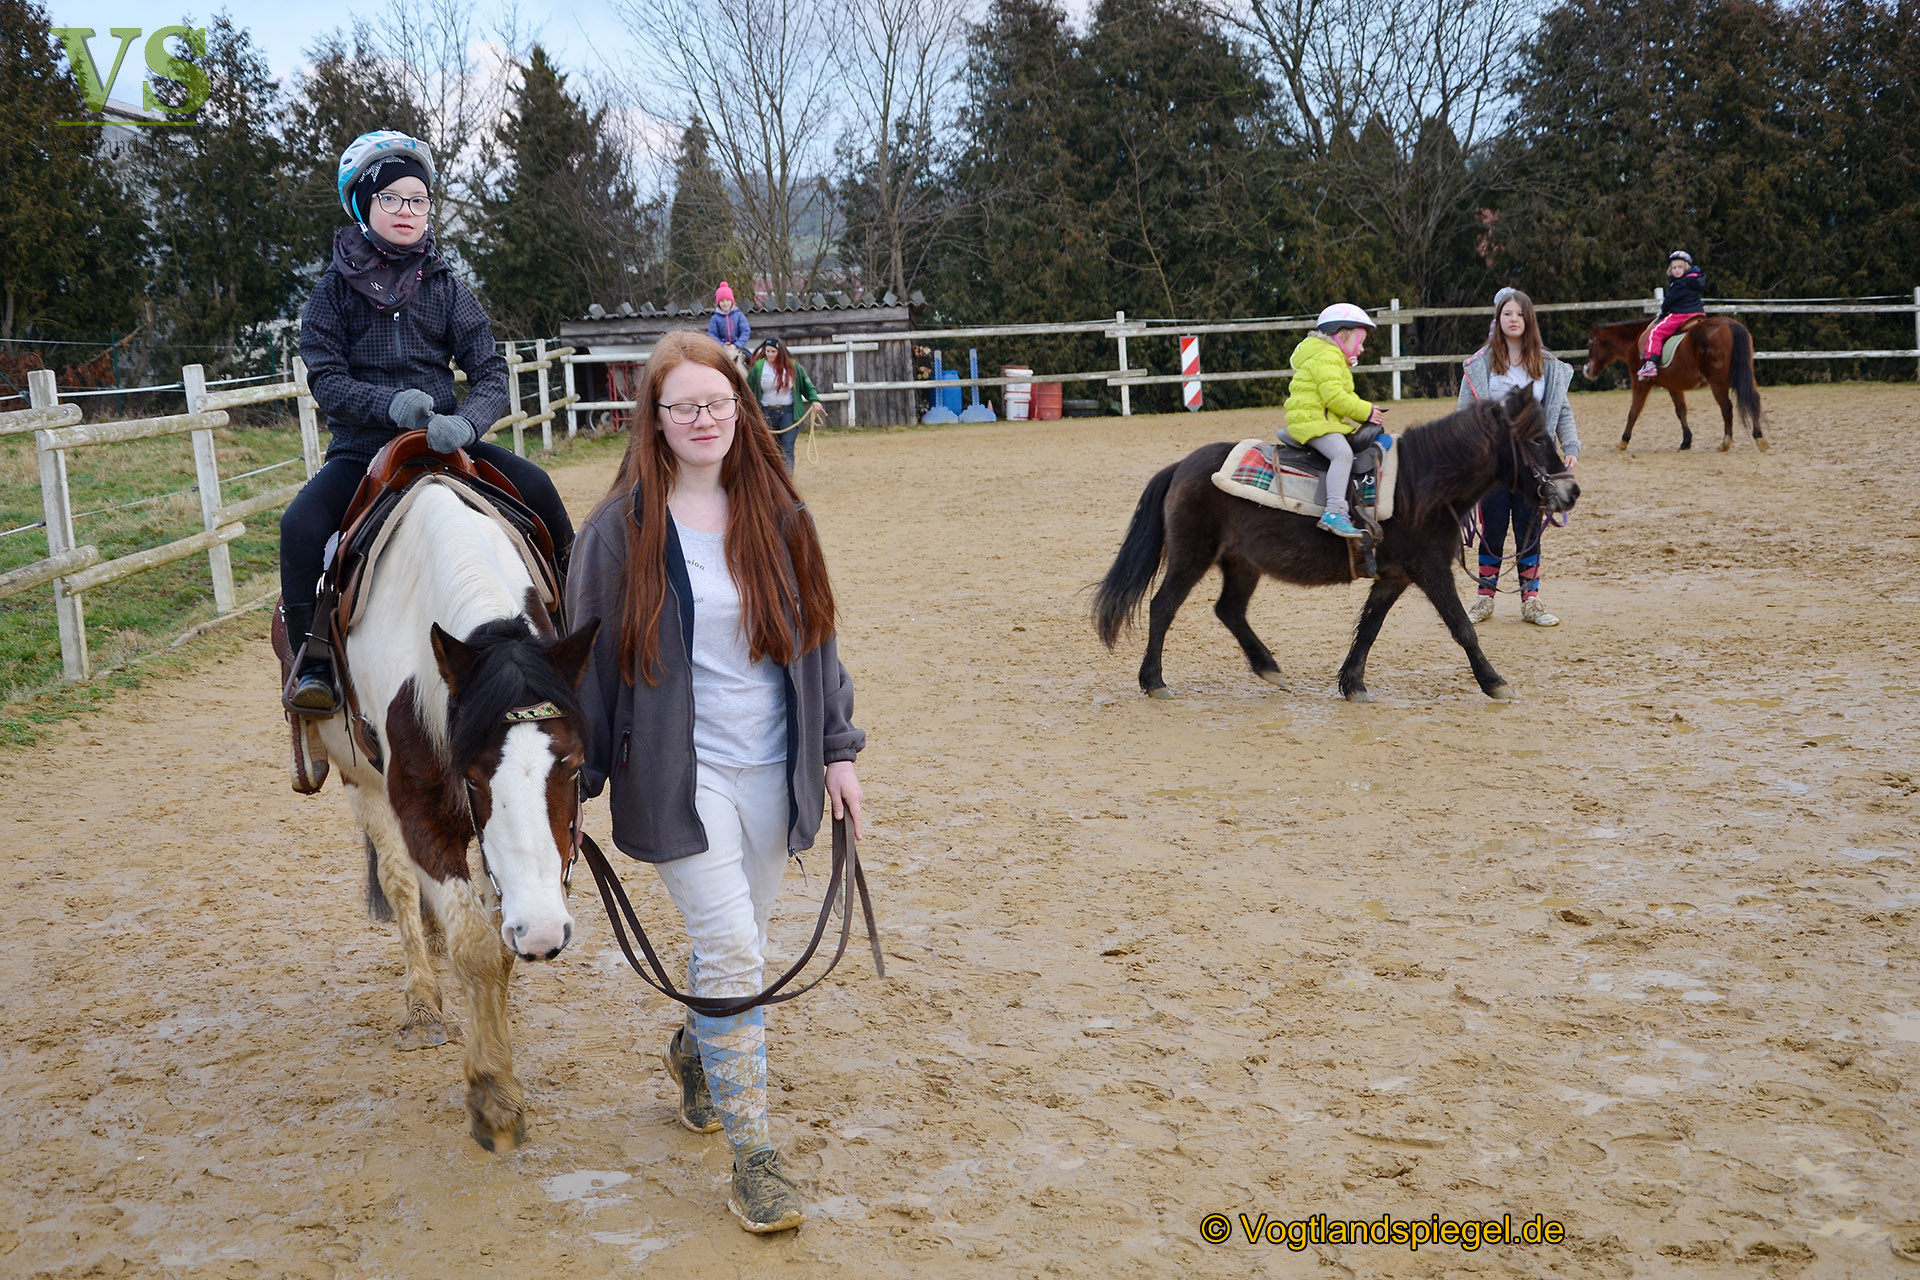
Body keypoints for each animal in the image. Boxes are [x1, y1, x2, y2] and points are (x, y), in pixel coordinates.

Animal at [292, 476, 597, 1153]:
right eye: (474, 773)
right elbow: (477, 945)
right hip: (359, 780)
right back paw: (425, 1004)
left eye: (573, 766)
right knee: (400, 883)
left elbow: (491, 937)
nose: (544, 933)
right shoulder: (420, 809)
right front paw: (493, 1099)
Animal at [1093, 386, 1578, 703]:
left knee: (1229, 610)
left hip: (1242, 562)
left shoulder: (1394, 576)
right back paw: (1154, 681)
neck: (1421, 484)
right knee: (1163, 606)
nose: (1570, 491)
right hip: (1192, 556)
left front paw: (1353, 683)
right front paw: (1494, 682)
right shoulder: (1430, 569)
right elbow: (1462, 627)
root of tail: (1181, 466)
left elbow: (1369, 627)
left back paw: (1268, 668)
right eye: (1536, 438)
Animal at [1583, 316, 1767, 452]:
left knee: (1727, 407)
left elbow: (1633, 412)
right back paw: (1759, 437)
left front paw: (1623, 441)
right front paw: (1686, 441)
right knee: (1753, 399)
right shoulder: (1674, 386)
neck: (1635, 339)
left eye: (1590, 344)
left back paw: (1726, 442)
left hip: (1718, 381)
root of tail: (1729, 324)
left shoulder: (1640, 383)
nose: (1586, 370)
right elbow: (1681, 411)